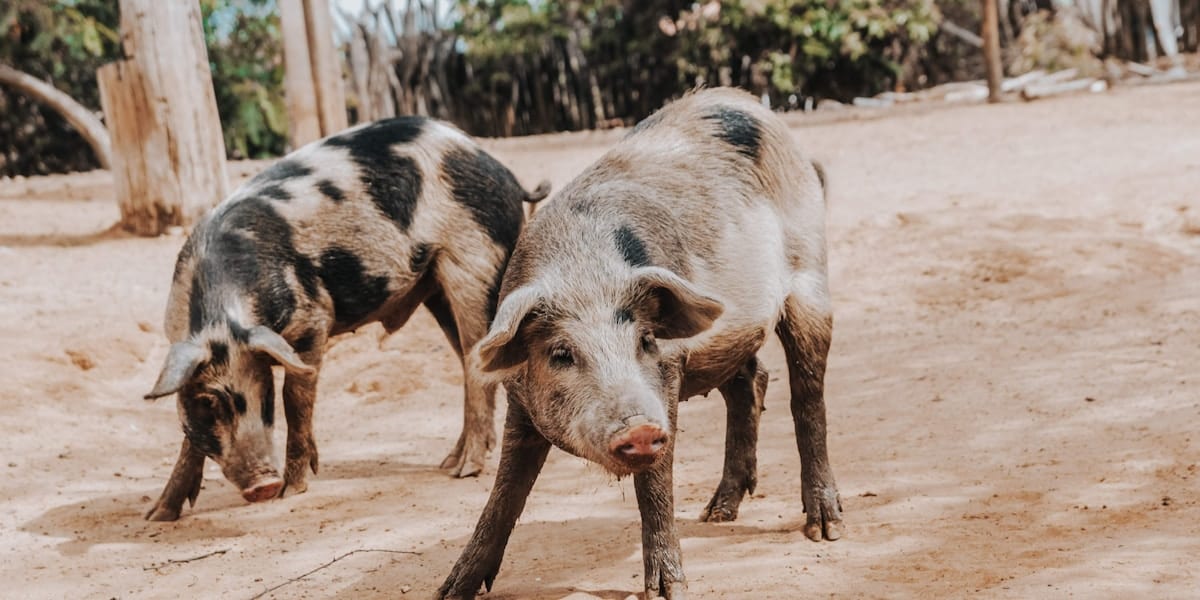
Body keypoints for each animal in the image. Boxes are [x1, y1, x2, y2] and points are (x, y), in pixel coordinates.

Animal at [142, 116, 549, 521]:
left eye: (263, 393)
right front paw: (158, 514)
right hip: (437, 287)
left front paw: (293, 490)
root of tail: (504, 173)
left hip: (475, 264)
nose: (263, 485)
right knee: (469, 363)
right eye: (208, 402)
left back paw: (466, 469)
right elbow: (188, 437)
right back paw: (448, 462)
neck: (222, 315)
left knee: (476, 365)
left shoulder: (313, 317)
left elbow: (296, 398)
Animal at [436, 88, 842, 599]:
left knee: (808, 396)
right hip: (726, 338)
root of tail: (754, 106)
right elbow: (504, 493)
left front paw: (669, 590)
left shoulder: (667, 374)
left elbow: (654, 483)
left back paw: (825, 529)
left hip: (810, 276)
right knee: (750, 381)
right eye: (560, 353)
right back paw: (717, 512)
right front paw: (449, 589)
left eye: (646, 340)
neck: (585, 272)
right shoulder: (520, 401)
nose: (640, 427)